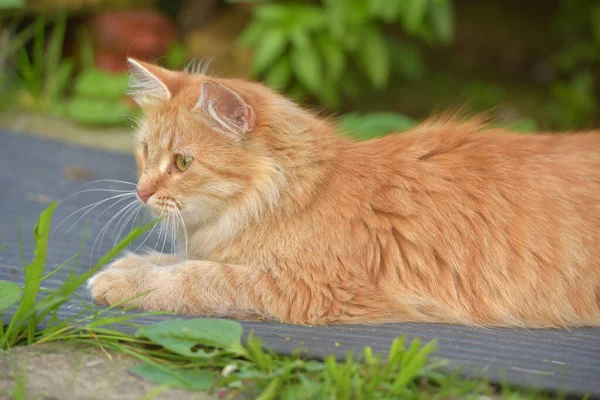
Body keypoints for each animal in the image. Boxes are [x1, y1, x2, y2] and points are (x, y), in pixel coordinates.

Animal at [88, 59, 600, 328]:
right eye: (144, 152)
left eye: (182, 163)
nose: (141, 191)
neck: (293, 194)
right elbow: (172, 261)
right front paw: (126, 267)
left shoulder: (308, 287)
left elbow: (195, 278)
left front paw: (123, 283)